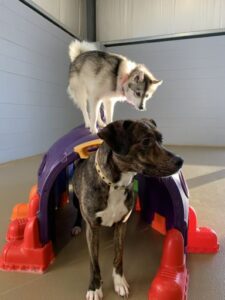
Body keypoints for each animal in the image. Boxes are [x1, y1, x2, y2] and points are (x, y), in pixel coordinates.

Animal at [72, 119, 183, 300]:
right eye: (145, 141)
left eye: (161, 139)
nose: (180, 160)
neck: (114, 184)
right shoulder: (92, 229)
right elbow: (94, 263)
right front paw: (95, 287)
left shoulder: (121, 225)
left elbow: (118, 257)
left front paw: (119, 282)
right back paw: (75, 226)